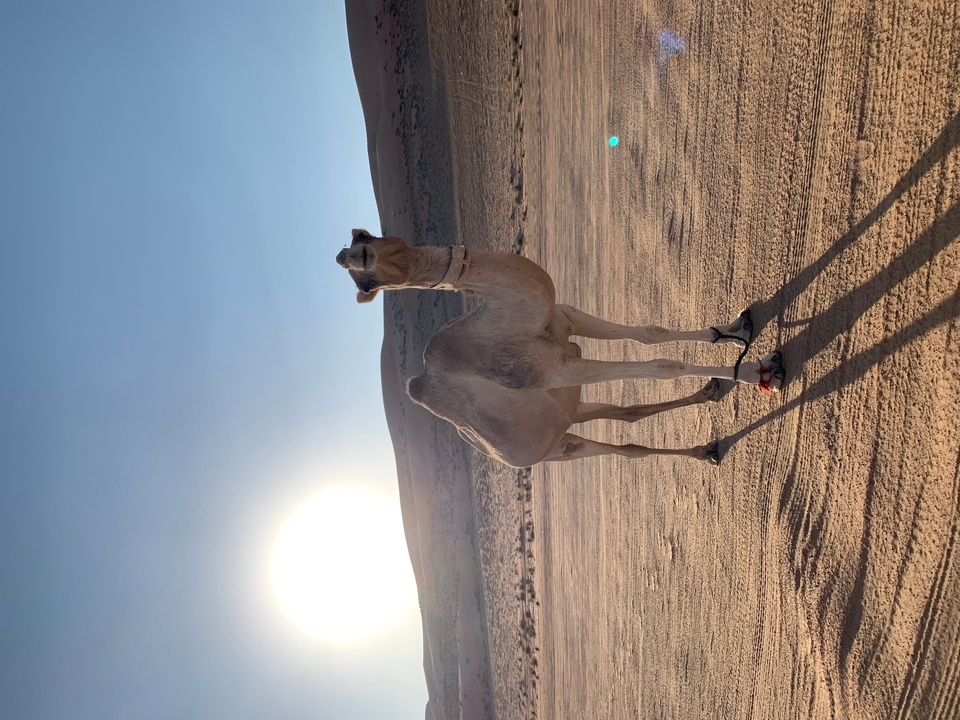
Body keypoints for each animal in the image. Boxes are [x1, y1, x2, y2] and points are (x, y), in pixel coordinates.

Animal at [336, 230, 785, 467]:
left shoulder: (566, 321)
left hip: (567, 407)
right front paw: (760, 370)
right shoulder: (556, 369)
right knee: (625, 449)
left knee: (624, 415)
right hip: (559, 446)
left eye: (366, 239)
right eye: (366, 281)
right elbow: (662, 366)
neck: (506, 322)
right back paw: (706, 444)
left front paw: (738, 326)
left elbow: (649, 334)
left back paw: (710, 406)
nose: (344, 256)